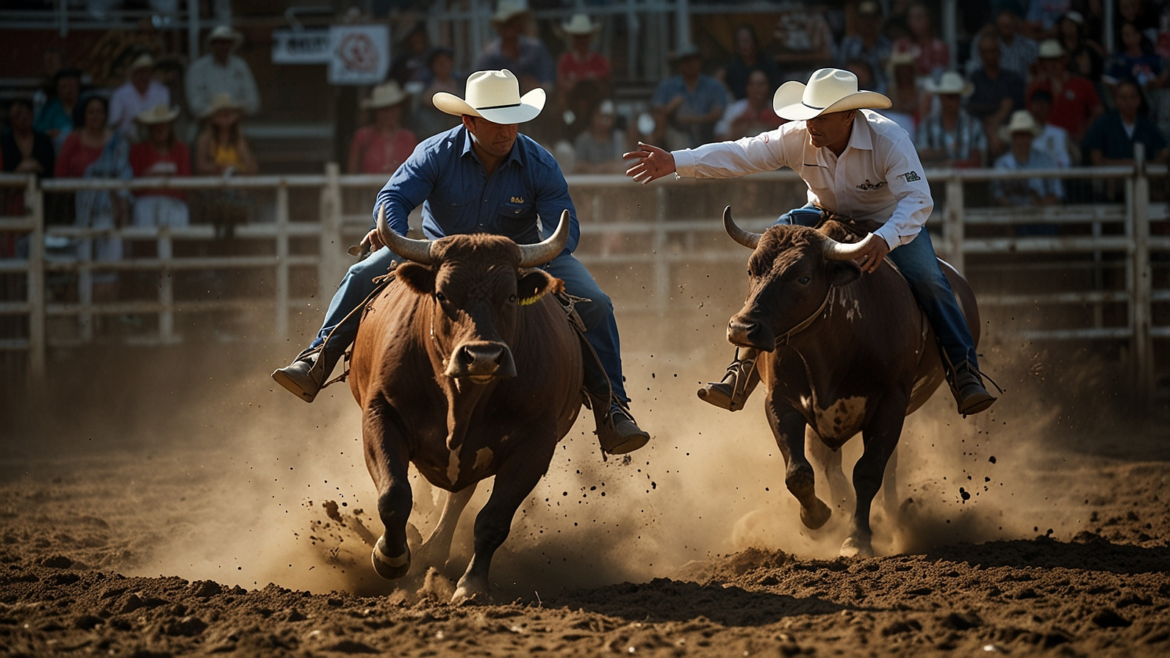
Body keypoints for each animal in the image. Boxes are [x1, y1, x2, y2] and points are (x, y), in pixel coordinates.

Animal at [346, 206, 585, 599]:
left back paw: (434, 551)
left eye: (510, 296)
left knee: (460, 495)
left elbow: (493, 519)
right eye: (443, 294)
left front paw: (472, 584)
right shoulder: (380, 414)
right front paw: (389, 556)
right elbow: (394, 496)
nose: (483, 357)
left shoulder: (536, 444)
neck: (460, 399)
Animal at [720, 207, 978, 554]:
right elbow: (798, 471)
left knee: (887, 469)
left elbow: (868, 473)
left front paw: (857, 538)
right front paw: (817, 518)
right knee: (830, 462)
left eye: (803, 277)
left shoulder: (890, 405)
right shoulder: (780, 400)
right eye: (751, 270)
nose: (742, 328)